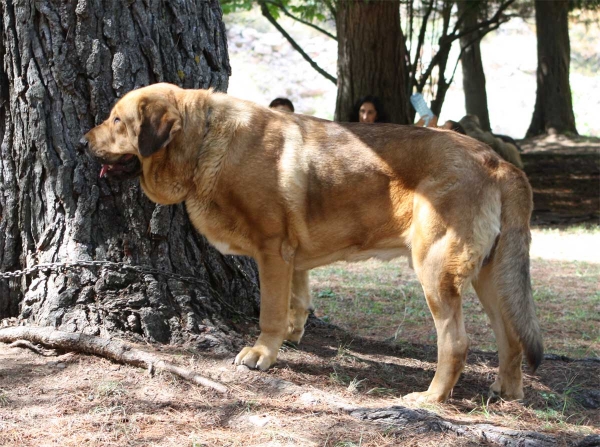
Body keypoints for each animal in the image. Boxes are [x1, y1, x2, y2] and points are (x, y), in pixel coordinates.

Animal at [83, 82, 544, 404]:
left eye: (117, 120)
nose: (80, 142)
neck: (204, 141)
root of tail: (498, 162)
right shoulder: (292, 256)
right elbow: (297, 299)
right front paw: (293, 333)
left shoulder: (272, 250)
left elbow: (270, 310)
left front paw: (262, 353)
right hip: (489, 273)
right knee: (510, 334)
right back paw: (508, 389)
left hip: (435, 268)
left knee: (456, 342)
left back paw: (432, 396)